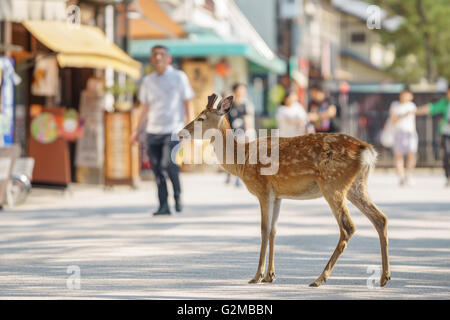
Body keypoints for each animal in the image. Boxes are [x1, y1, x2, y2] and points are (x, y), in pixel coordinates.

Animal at [179, 94, 390, 286]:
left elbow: (264, 229)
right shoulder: (277, 195)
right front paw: (270, 276)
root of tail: (368, 151)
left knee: (348, 227)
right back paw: (384, 277)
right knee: (380, 218)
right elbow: (274, 230)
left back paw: (320, 278)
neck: (242, 160)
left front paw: (257, 276)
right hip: (356, 186)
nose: (181, 133)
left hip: (333, 184)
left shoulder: (263, 189)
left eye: (201, 118)